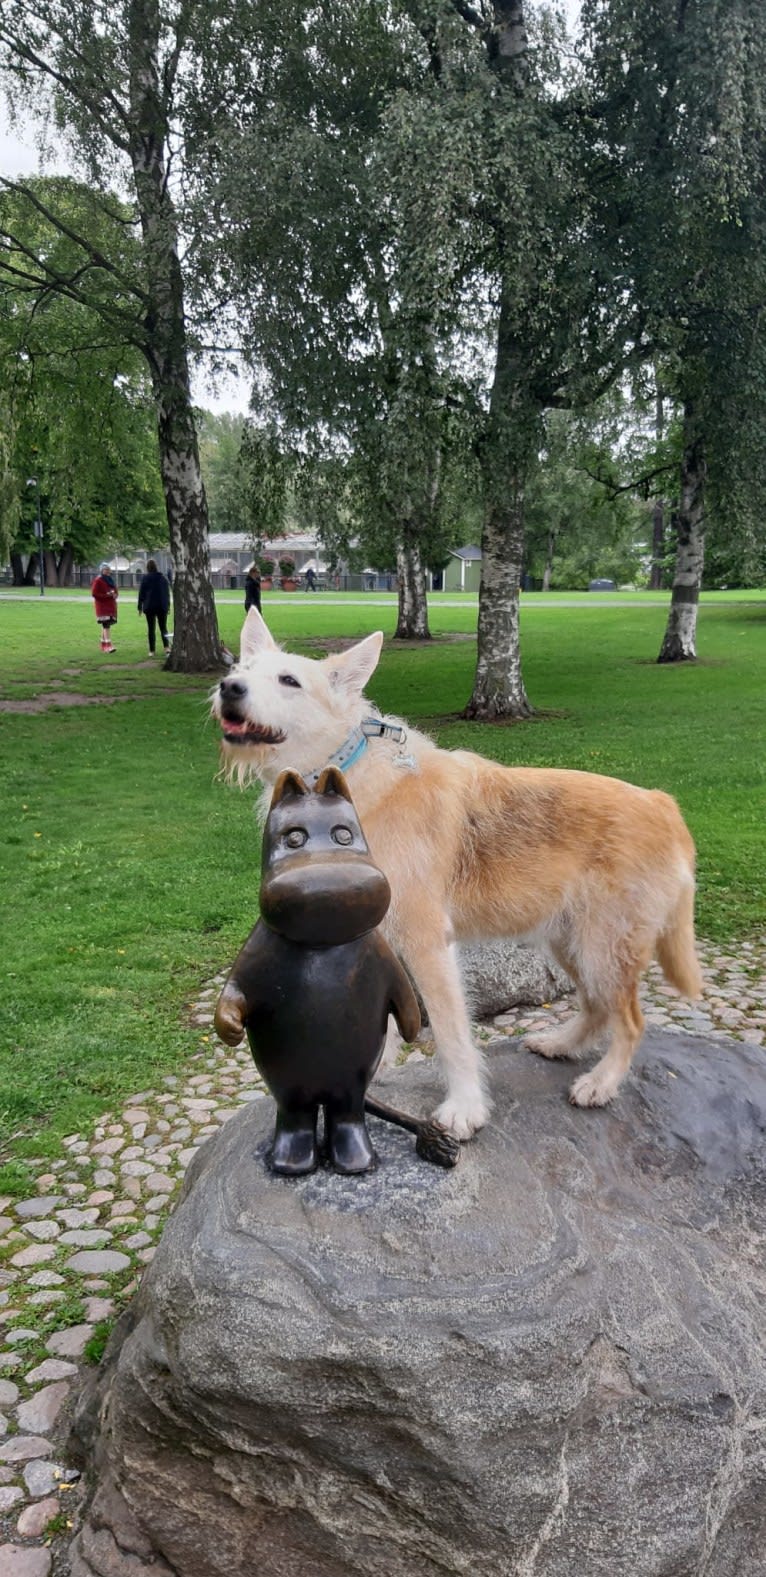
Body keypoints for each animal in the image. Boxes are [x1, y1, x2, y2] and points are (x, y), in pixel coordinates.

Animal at [212, 608, 702, 1141]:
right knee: (595, 1007)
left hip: (603, 948)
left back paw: (602, 1082)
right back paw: (561, 1044)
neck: (337, 779)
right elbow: (386, 1017)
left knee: (630, 1020)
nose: (229, 687)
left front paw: (465, 1106)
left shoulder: (429, 942)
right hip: (568, 941)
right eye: (241, 668)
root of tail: (663, 803)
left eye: (289, 681)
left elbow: (450, 1032)